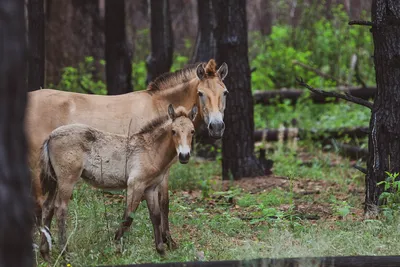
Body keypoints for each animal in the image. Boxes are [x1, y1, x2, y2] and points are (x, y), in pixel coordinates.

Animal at [39, 104, 198, 260]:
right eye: (173, 131)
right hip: (67, 180)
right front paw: (114, 246)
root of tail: (50, 136)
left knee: (48, 207)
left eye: (192, 131)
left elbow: (156, 216)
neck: (150, 149)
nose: (184, 156)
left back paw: (45, 254)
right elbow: (128, 217)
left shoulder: (150, 188)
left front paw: (161, 251)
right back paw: (64, 253)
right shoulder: (135, 185)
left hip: (55, 181)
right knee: (60, 208)